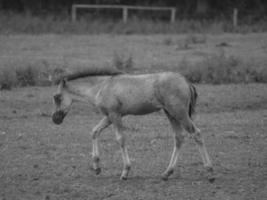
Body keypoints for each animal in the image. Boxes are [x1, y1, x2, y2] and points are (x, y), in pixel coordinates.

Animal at [52, 69, 215, 181]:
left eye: (57, 97)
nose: (55, 119)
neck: (102, 87)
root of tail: (186, 81)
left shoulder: (115, 115)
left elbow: (120, 139)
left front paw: (125, 172)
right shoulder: (109, 116)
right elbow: (95, 131)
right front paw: (97, 167)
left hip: (179, 113)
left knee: (196, 133)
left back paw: (210, 172)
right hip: (171, 114)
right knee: (179, 137)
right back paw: (166, 173)